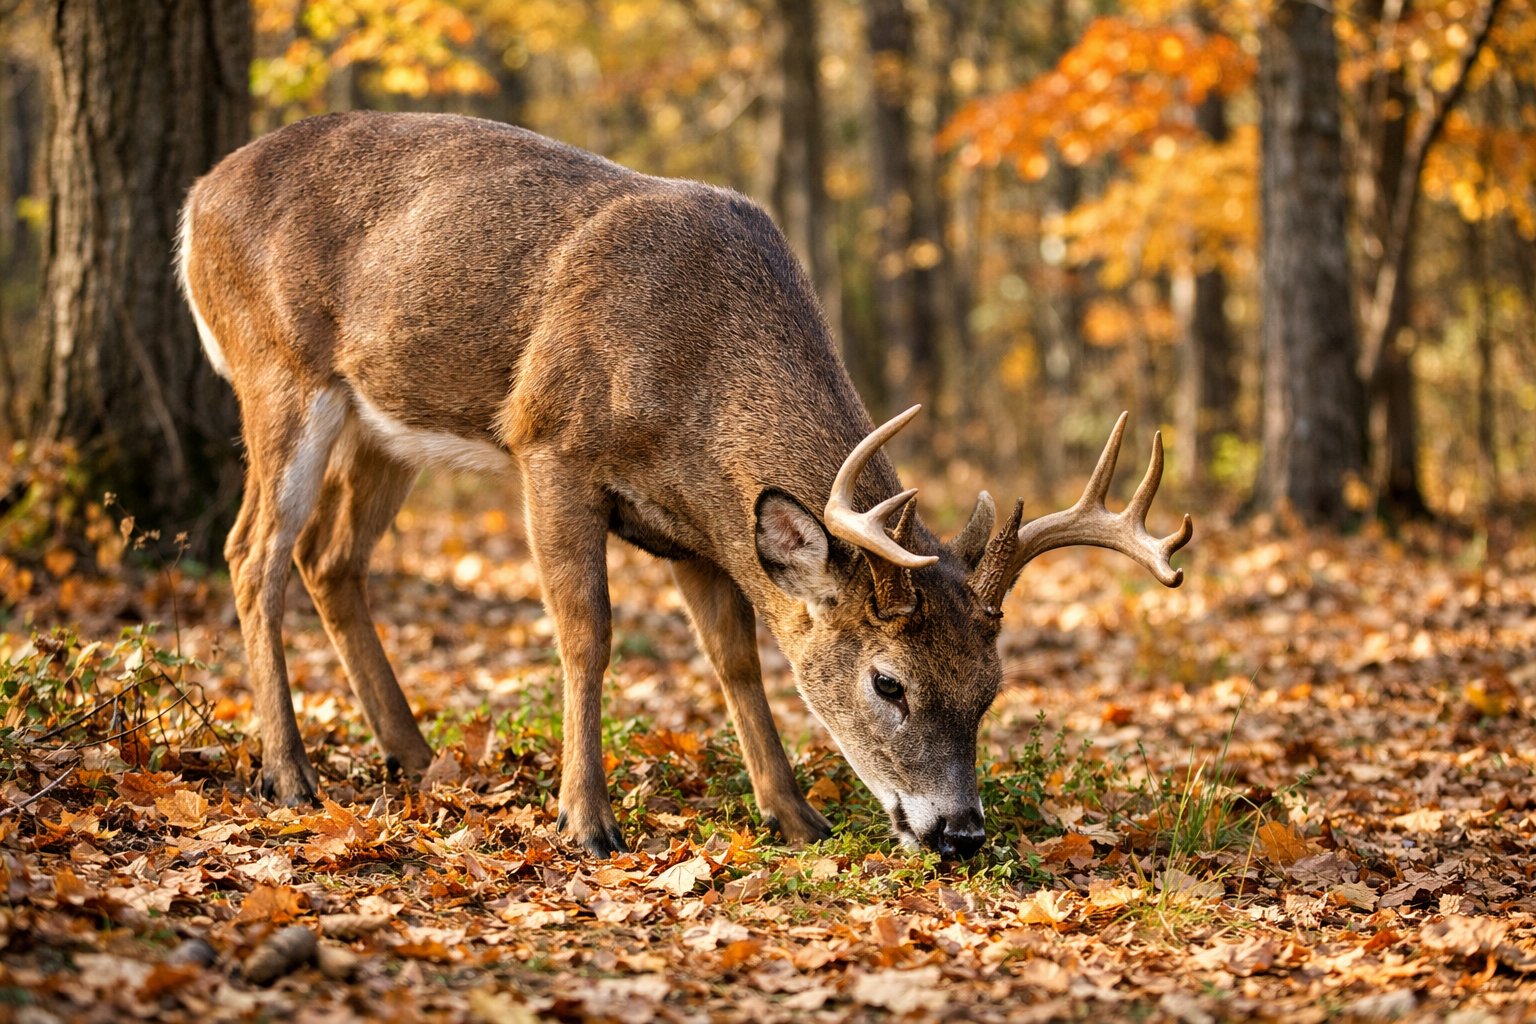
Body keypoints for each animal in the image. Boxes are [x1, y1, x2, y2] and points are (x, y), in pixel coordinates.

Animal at [177, 111, 1191, 859]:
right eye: (889, 683)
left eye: (991, 687)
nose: (960, 834)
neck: (694, 367)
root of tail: (195, 201)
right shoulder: (550, 443)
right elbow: (586, 633)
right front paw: (586, 820)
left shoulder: (701, 527)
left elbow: (736, 656)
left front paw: (794, 815)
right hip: (279, 372)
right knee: (253, 552)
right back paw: (289, 772)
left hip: (385, 422)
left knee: (328, 558)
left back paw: (418, 758)